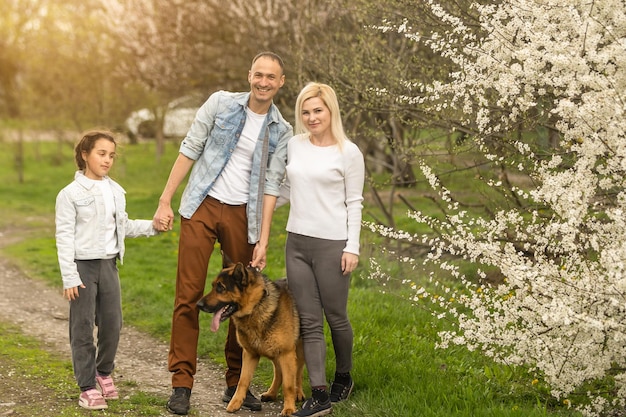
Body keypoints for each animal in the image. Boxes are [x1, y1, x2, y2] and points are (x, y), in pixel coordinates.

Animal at [195, 255, 302, 414]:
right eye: (213, 286)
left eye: (221, 288)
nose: (198, 305)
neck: (256, 306)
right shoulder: (250, 354)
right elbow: (243, 381)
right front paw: (235, 403)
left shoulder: (286, 353)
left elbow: (288, 385)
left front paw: (289, 408)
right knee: (278, 371)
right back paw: (272, 393)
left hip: (299, 349)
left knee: (299, 369)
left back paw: (299, 393)